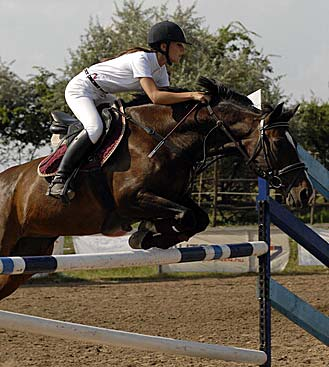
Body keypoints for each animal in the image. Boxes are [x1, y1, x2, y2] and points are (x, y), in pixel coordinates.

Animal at [0, 77, 312, 300]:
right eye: (278, 143)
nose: (305, 192)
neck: (166, 139)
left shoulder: (175, 196)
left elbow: (196, 218)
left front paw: (150, 234)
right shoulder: (130, 200)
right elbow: (185, 215)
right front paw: (147, 233)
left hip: (30, 248)